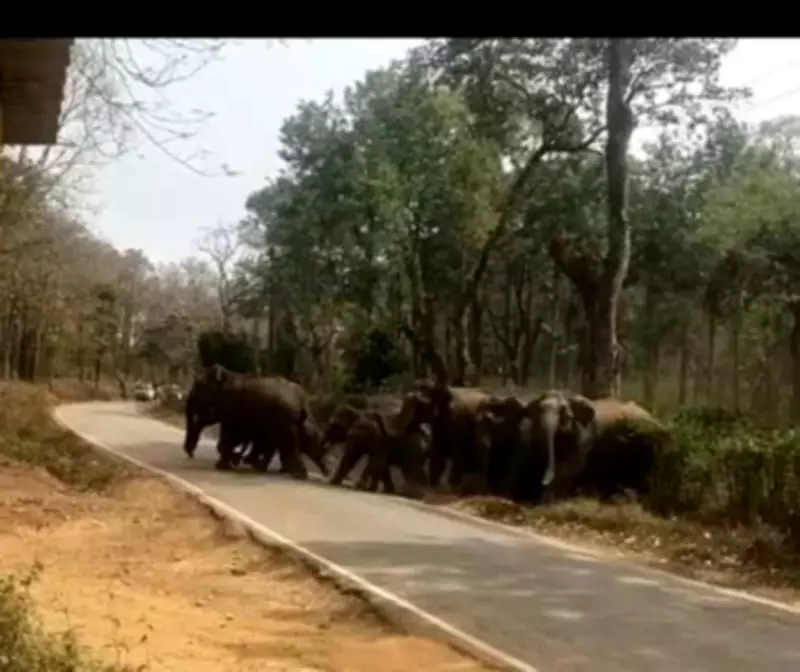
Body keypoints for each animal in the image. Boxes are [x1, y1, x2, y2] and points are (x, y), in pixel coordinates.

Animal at [183, 365, 327, 478]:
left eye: (198, 387)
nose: (191, 454)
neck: (228, 375)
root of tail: (302, 401)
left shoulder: (231, 406)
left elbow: (229, 435)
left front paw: (224, 465)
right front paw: (230, 462)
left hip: (285, 419)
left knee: (286, 444)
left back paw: (296, 474)